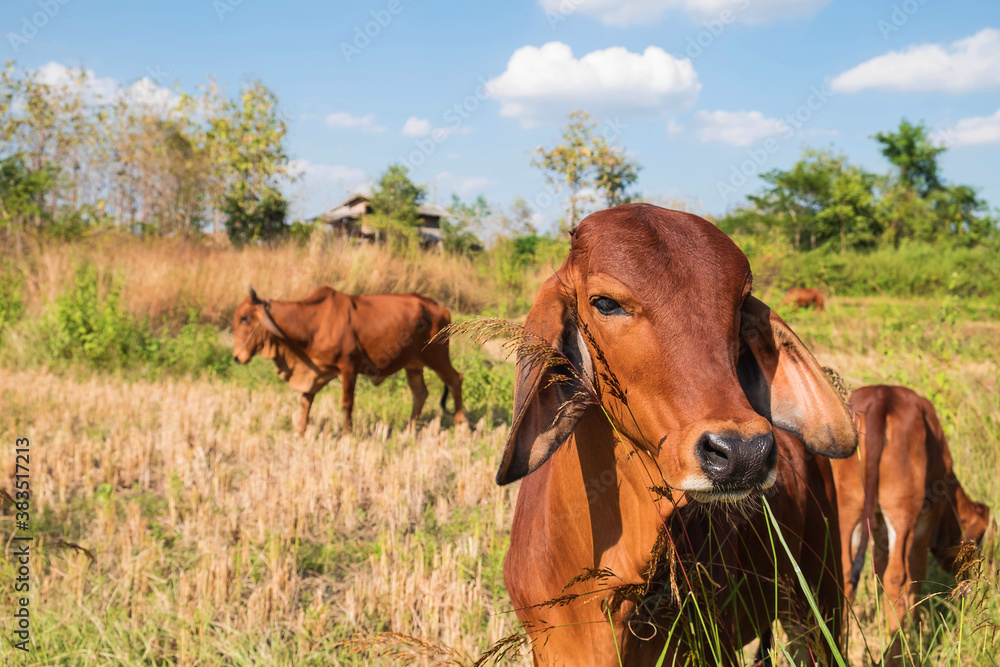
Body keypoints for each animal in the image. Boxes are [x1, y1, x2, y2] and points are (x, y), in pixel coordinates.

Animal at [232, 286, 464, 435]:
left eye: (244, 318)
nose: (236, 357)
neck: (312, 324)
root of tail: (440, 307)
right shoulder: (313, 371)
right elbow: (306, 401)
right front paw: (300, 432)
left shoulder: (348, 368)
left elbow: (346, 403)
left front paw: (346, 435)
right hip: (413, 365)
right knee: (420, 393)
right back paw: (408, 430)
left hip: (437, 356)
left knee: (455, 380)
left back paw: (461, 425)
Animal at [831, 385, 990, 665]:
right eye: (978, 540)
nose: (969, 582)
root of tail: (883, 396)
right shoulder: (927, 520)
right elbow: (916, 573)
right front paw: (915, 628)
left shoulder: (878, 525)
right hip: (903, 511)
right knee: (899, 577)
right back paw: (896, 653)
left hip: (849, 506)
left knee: (848, 571)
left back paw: (843, 650)